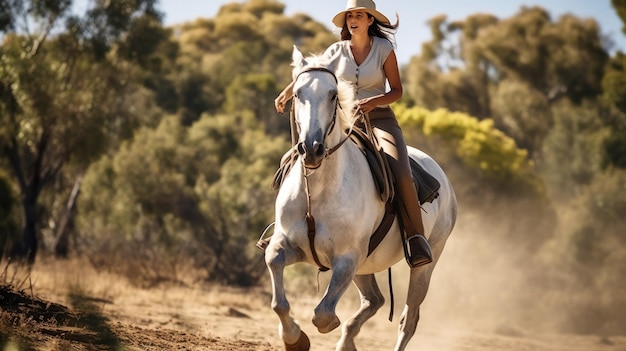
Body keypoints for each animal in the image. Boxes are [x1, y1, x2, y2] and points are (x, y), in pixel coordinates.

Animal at [260, 47, 456, 351]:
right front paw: (295, 339)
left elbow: (323, 314)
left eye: (332, 94)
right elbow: (277, 291)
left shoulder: (347, 260)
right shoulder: (287, 245)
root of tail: (443, 179)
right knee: (375, 300)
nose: (312, 149)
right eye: (298, 93)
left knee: (408, 319)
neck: (318, 191)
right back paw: (347, 341)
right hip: (365, 268)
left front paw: (319, 329)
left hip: (423, 266)